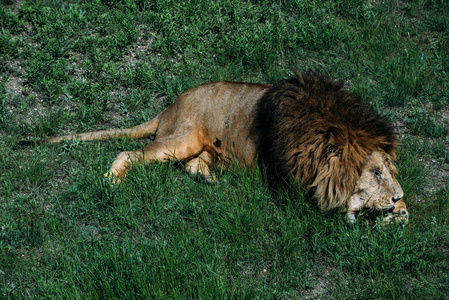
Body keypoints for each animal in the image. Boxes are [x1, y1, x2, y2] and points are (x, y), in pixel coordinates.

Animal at [26, 73, 408, 223]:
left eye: (388, 170)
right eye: (375, 172)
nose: (396, 196)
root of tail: (170, 105)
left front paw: (399, 211)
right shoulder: (295, 189)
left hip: (214, 151)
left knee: (193, 165)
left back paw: (210, 181)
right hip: (181, 139)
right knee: (129, 154)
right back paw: (112, 182)